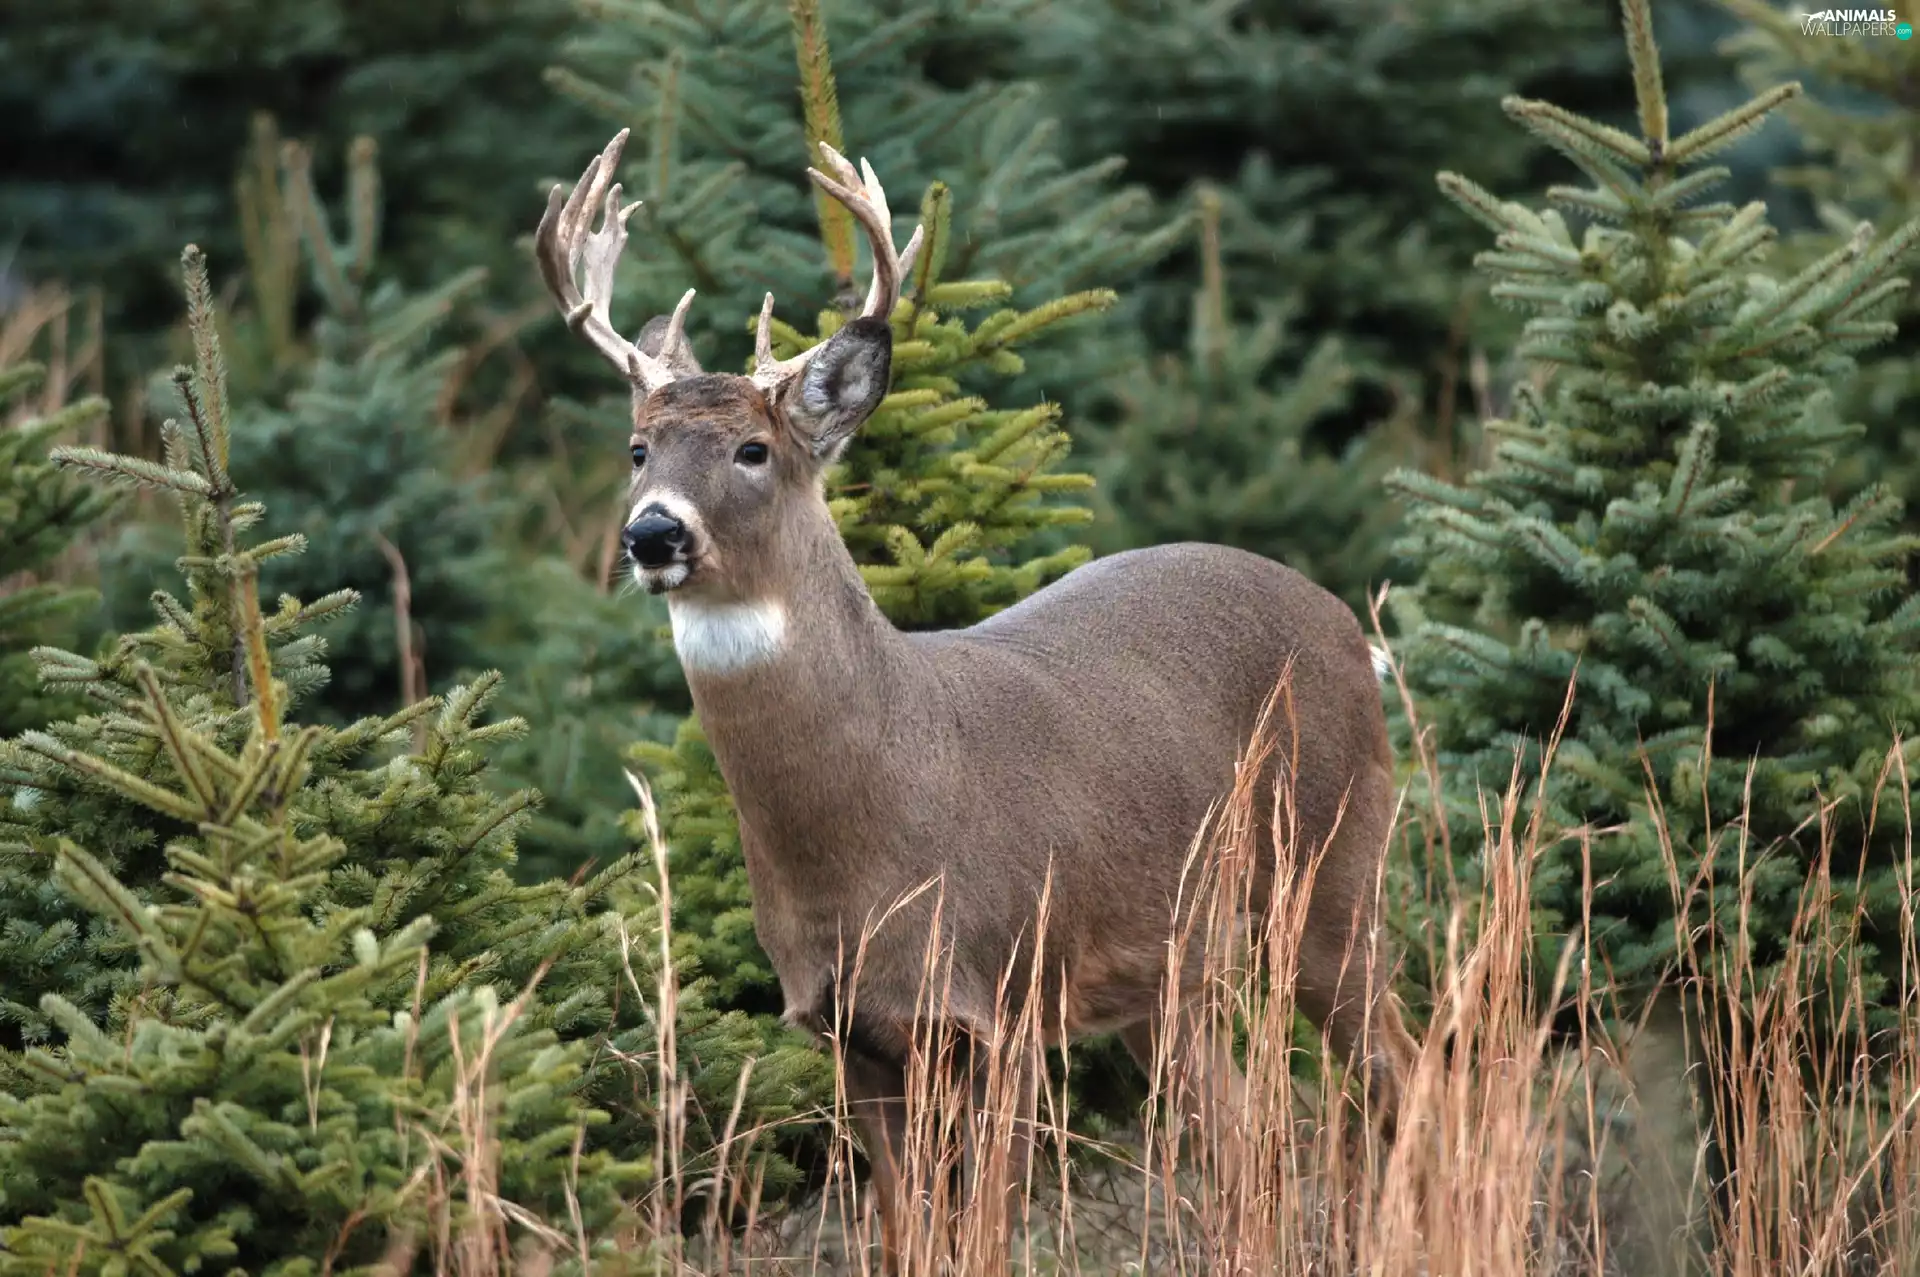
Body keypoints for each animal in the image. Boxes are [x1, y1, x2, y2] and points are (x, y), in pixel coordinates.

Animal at [534, 129, 1419, 1269]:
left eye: (753, 449)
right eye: (639, 448)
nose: (653, 533)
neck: (868, 830)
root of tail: (1350, 627)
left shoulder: (1002, 998)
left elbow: (988, 1231)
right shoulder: (847, 1028)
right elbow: (908, 1225)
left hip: (1337, 863)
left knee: (1398, 1066)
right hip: (1173, 967)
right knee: (1243, 1130)